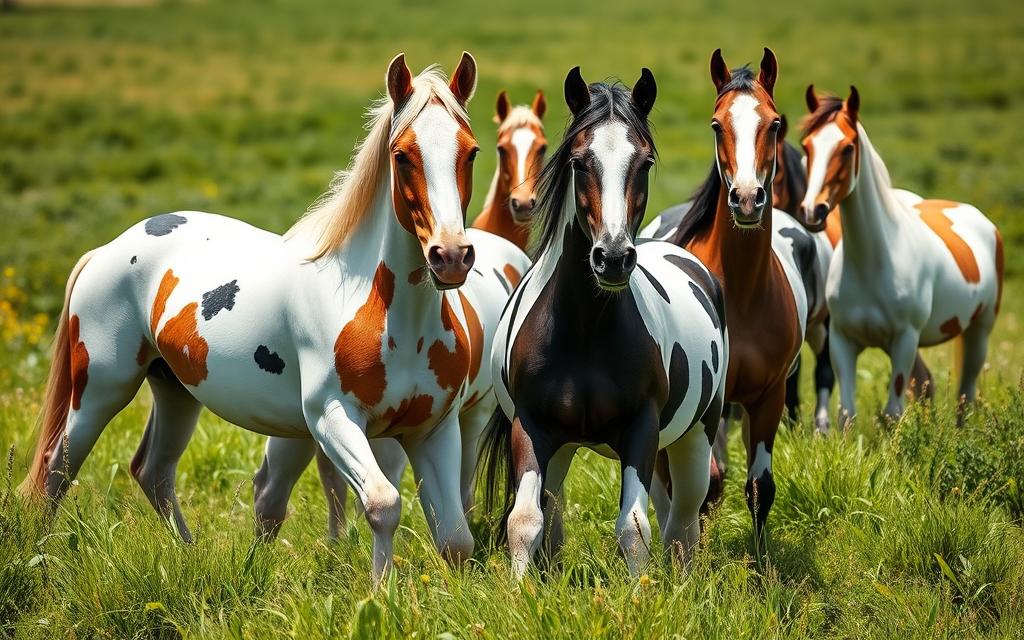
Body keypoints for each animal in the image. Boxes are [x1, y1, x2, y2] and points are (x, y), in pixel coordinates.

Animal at [20, 53, 532, 585]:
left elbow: (454, 537)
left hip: (175, 390)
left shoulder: (432, 430)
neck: (384, 314)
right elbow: (382, 503)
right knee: (54, 472)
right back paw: (36, 560)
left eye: (471, 152)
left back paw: (188, 554)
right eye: (402, 155)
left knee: (152, 471)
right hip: (100, 390)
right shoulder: (332, 419)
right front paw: (380, 590)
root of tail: (107, 249)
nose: (450, 256)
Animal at [481, 66, 729, 577]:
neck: (584, 332)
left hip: (695, 434)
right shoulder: (532, 427)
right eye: (579, 162)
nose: (612, 258)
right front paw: (522, 590)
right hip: (564, 447)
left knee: (684, 518)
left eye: (646, 162)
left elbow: (634, 529)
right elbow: (526, 521)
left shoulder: (641, 429)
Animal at [667, 48, 811, 544]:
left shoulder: (768, 397)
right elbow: (707, 486)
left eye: (775, 124)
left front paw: (760, 559)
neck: (744, 293)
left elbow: (760, 487)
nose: (747, 198)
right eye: (716, 125)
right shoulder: (709, 403)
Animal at [794, 84, 1003, 423]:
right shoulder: (842, 341)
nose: (813, 211)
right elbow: (847, 413)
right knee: (929, 384)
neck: (873, 261)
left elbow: (893, 412)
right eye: (807, 145)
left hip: (979, 332)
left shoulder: (904, 340)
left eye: (848, 147)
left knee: (965, 396)